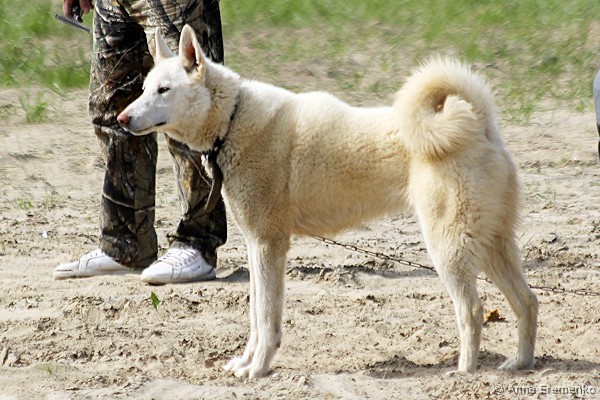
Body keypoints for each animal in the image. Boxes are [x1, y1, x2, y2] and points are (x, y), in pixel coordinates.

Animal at [117, 25, 538, 379]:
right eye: (145, 88)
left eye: (164, 90)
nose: (121, 118)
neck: (234, 119)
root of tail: (481, 126)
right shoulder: (257, 247)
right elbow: (256, 315)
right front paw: (246, 362)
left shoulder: (269, 245)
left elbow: (266, 318)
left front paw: (258, 369)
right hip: (492, 247)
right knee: (527, 301)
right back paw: (519, 363)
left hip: (448, 249)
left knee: (473, 310)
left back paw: (464, 372)